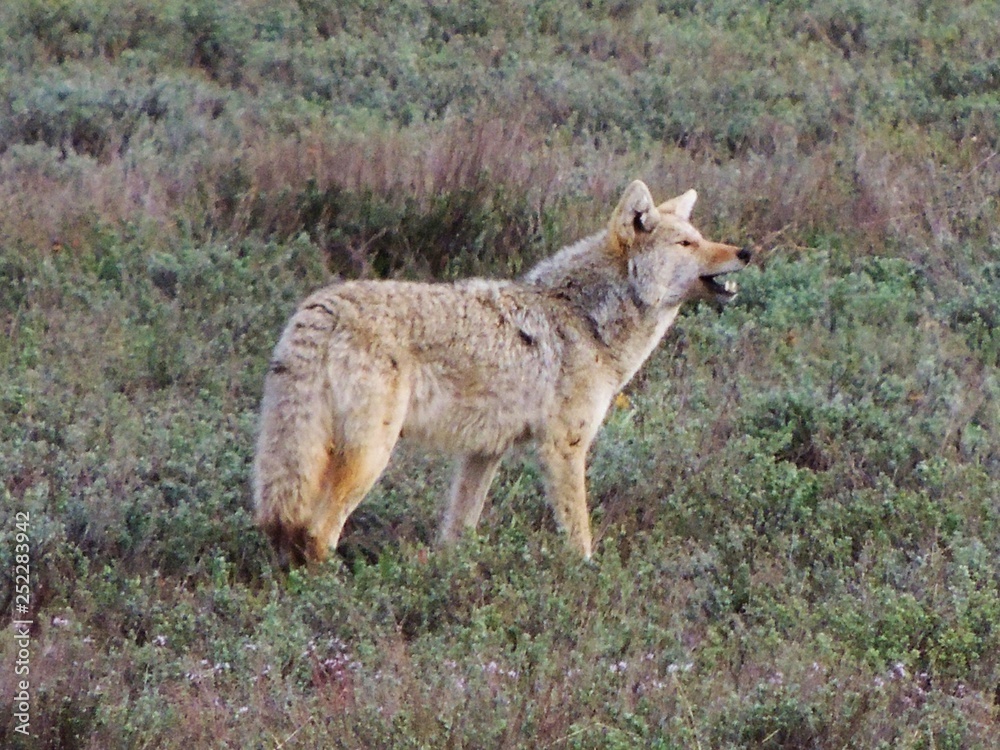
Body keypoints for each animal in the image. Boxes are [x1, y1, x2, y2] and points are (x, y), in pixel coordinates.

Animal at [253, 180, 752, 566]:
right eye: (686, 244)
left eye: (701, 237)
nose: (746, 251)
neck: (585, 319)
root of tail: (319, 308)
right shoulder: (563, 449)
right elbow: (580, 538)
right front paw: (586, 577)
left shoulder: (482, 453)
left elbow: (457, 533)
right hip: (370, 457)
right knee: (319, 532)